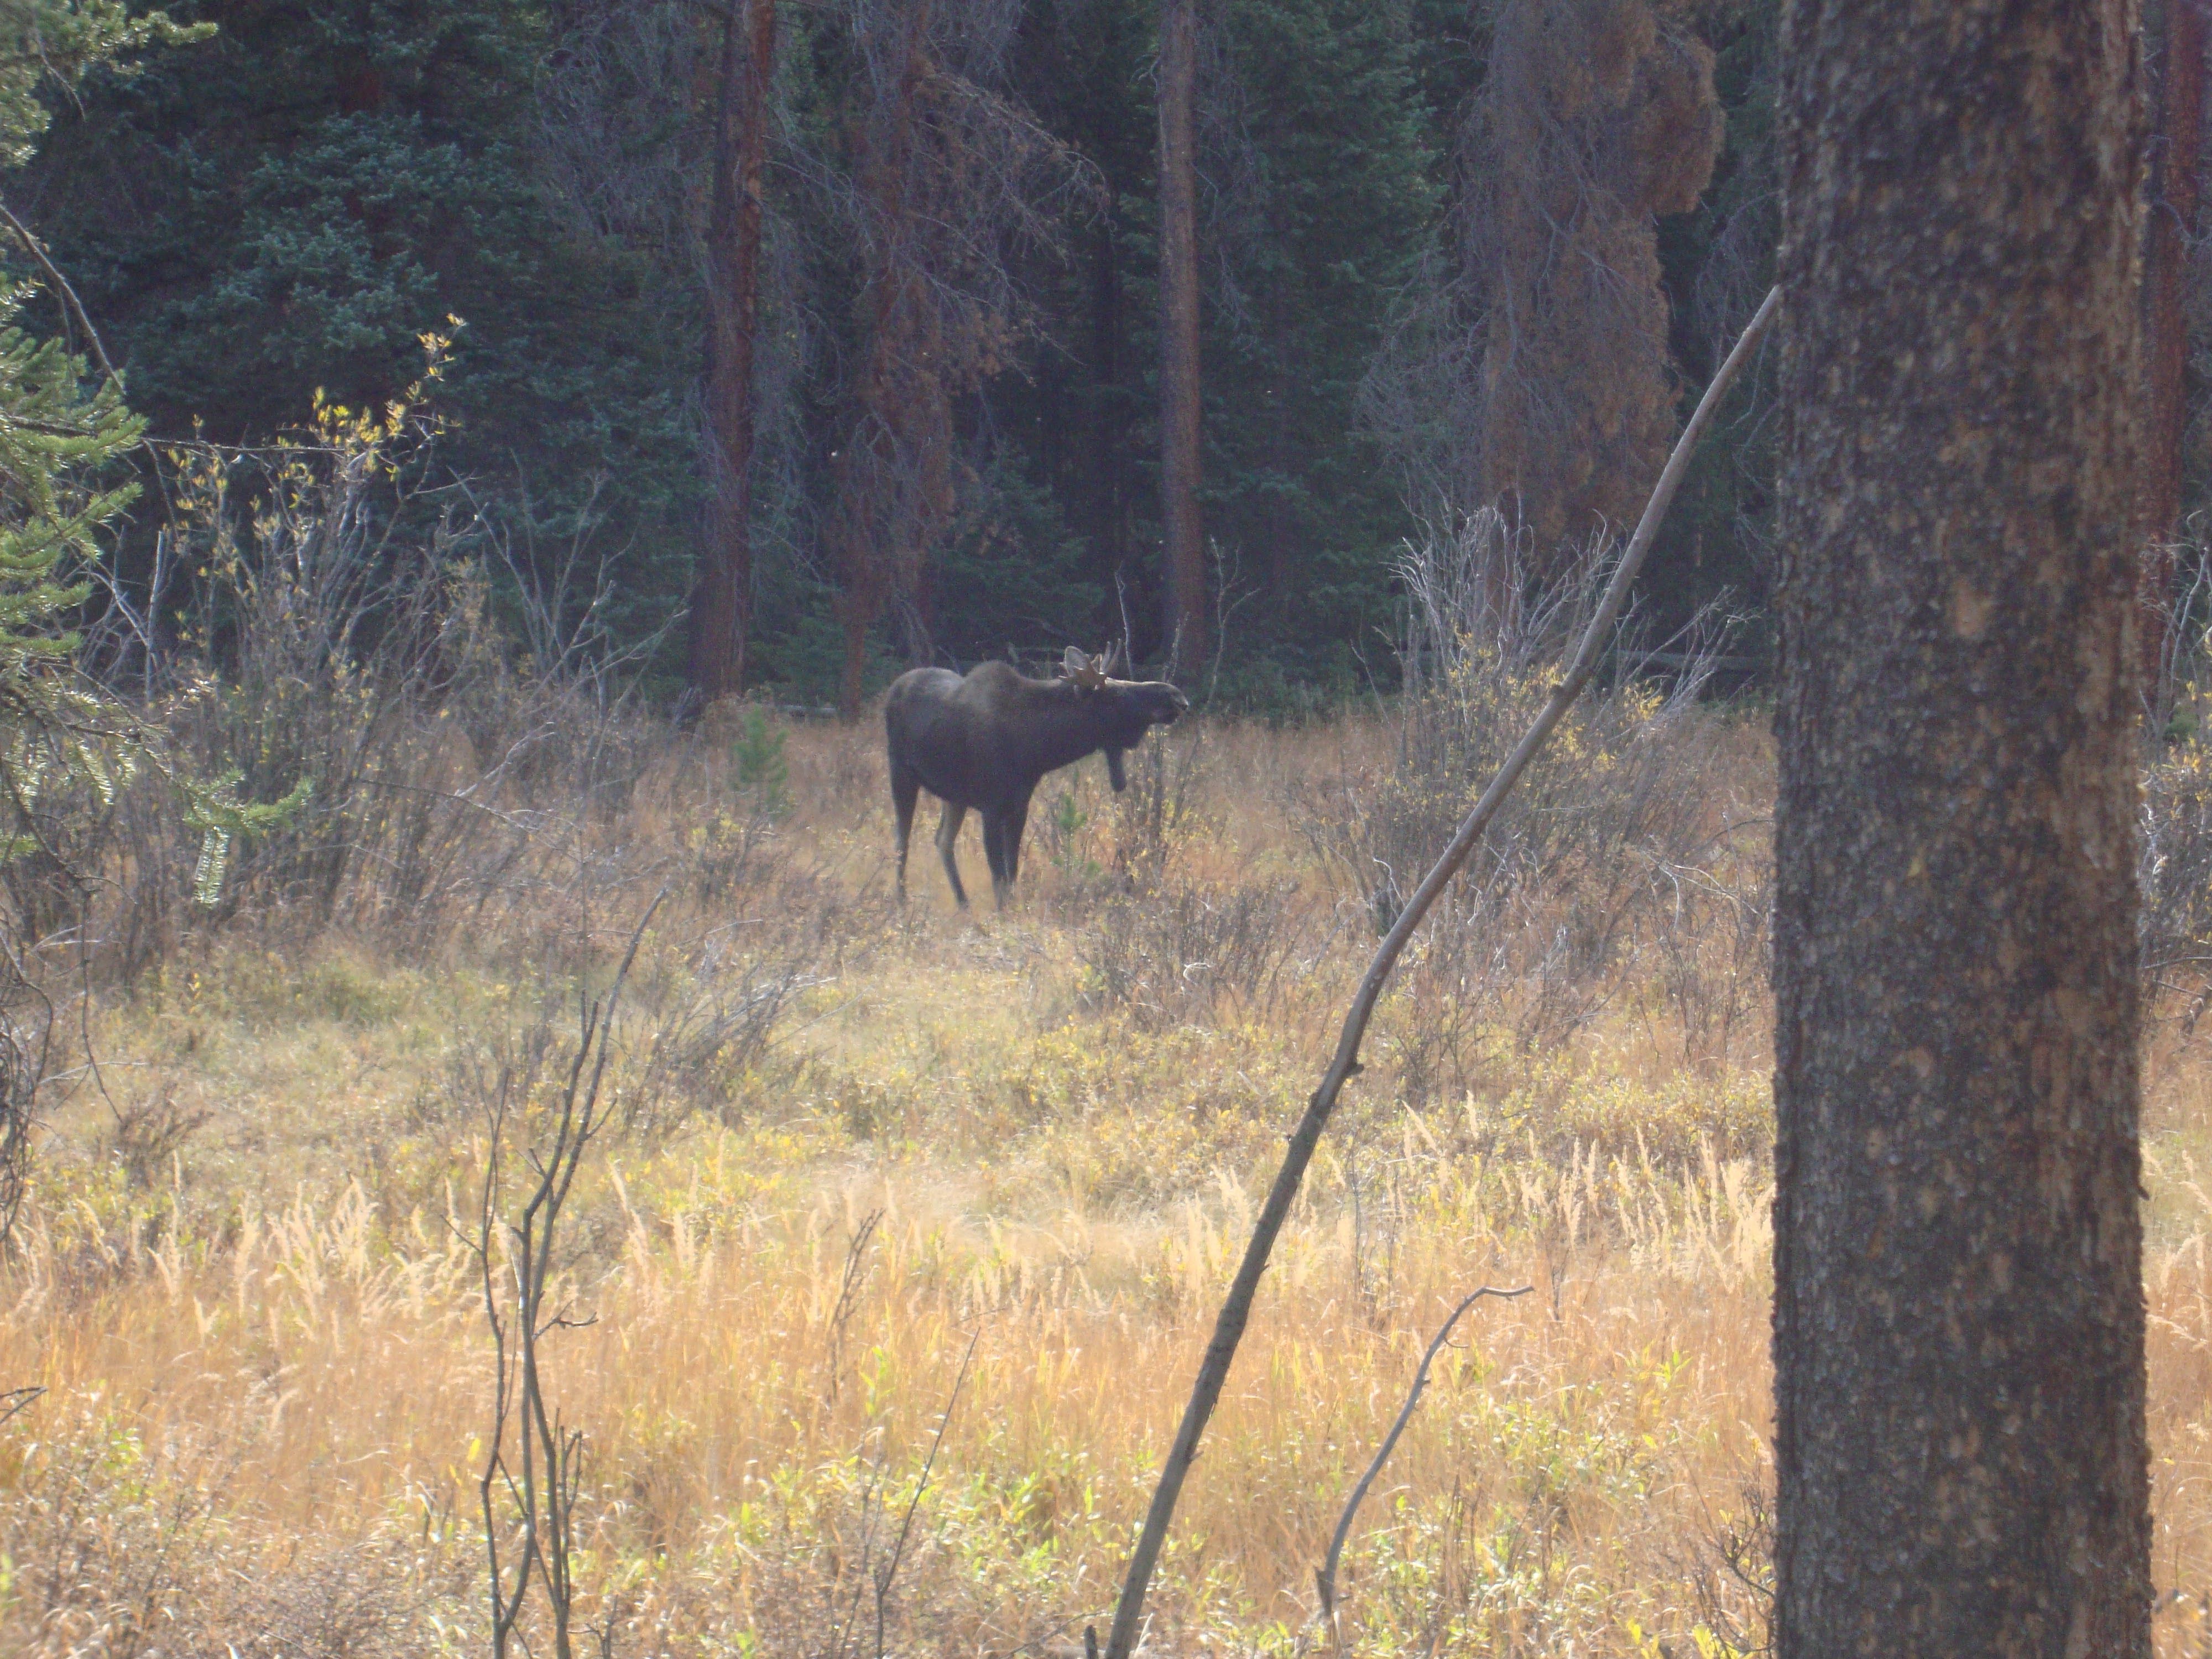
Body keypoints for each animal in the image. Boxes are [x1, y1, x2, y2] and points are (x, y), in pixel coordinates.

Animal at [885, 645, 1189, 907]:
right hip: (901, 773)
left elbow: (1012, 871)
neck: (1035, 748)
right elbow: (998, 875)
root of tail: (894, 687)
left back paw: (963, 905)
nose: (1177, 697)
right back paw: (901, 901)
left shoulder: (1019, 805)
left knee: (942, 840)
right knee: (902, 840)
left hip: (954, 796)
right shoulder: (991, 807)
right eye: (1119, 693)